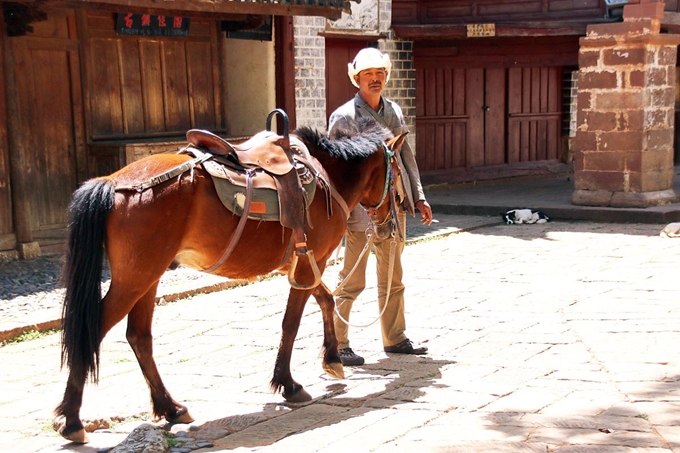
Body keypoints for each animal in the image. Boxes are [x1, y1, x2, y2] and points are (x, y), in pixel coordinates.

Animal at [57, 116, 404, 442]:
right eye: (398, 171)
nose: (394, 216)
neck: (327, 177)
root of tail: (112, 182)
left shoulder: (304, 265)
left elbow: (326, 300)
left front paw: (332, 358)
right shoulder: (309, 263)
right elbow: (291, 323)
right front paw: (289, 383)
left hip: (148, 276)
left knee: (139, 337)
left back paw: (171, 408)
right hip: (135, 279)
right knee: (93, 330)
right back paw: (72, 420)